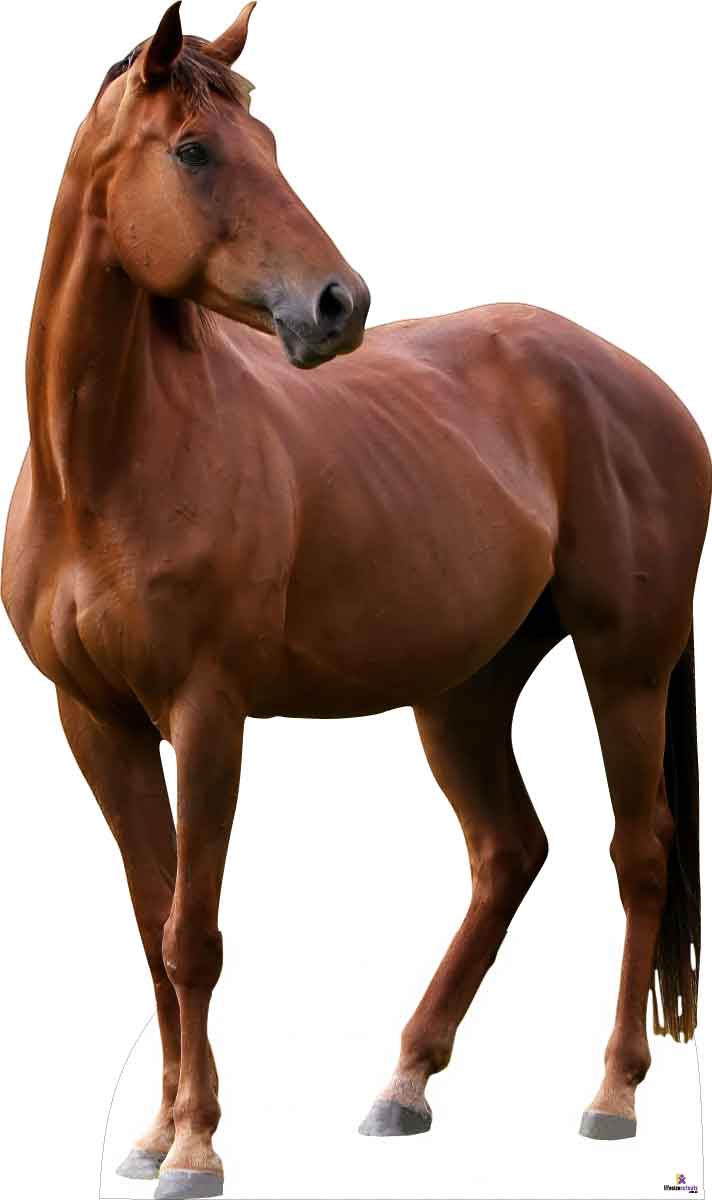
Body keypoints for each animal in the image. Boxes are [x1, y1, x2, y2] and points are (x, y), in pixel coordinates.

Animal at [2, 3, 709, 1198]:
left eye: (271, 143)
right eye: (194, 152)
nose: (340, 305)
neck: (110, 464)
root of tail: (642, 385)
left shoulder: (209, 717)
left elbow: (194, 937)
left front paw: (196, 1144)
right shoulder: (95, 723)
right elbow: (152, 927)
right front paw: (153, 1133)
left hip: (626, 668)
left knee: (639, 853)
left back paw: (610, 1094)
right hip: (463, 693)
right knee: (508, 852)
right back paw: (404, 1084)